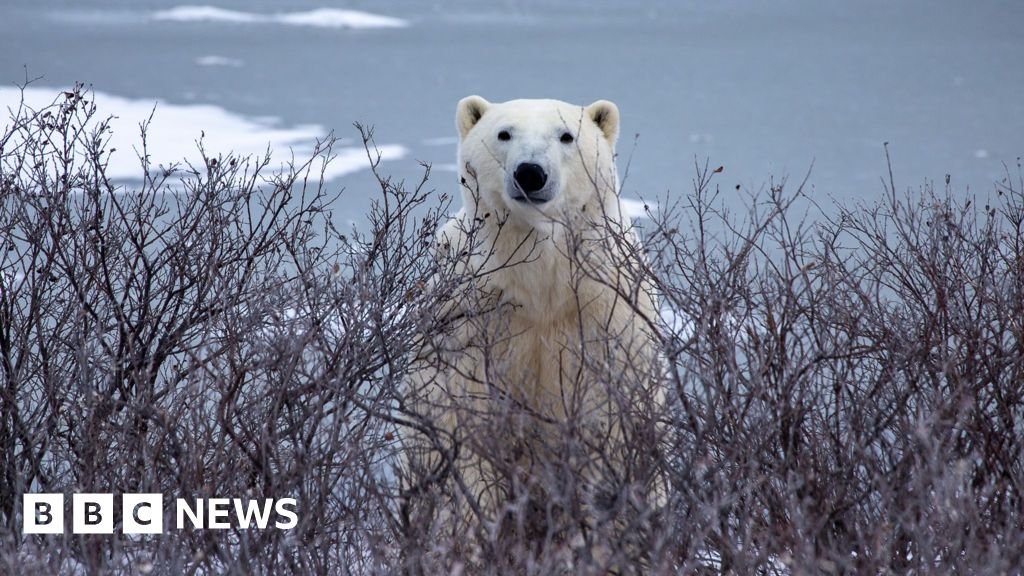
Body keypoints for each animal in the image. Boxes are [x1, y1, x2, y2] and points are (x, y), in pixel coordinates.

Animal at [403, 97, 659, 561]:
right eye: (504, 133)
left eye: (566, 135)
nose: (530, 172)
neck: (541, 281)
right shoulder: (471, 318)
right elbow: (468, 424)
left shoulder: (605, 311)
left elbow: (610, 414)